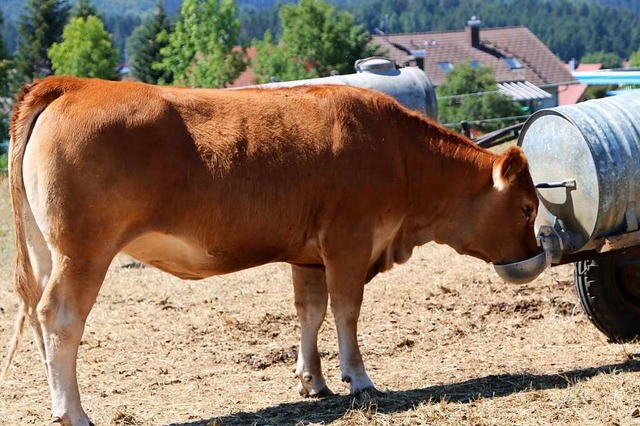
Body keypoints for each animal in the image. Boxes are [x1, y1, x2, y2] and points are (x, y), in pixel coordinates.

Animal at [2, 77, 544, 426]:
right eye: (527, 207)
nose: (536, 254)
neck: (401, 154)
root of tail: (71, 84)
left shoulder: (308, 254)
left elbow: (311, 311)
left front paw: (313, 380)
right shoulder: (348, 241)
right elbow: (346, 310)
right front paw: (359, 378)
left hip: (49, 251)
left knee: (38, 316)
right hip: (84, 250)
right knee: (59, 318)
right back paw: (73, 412)